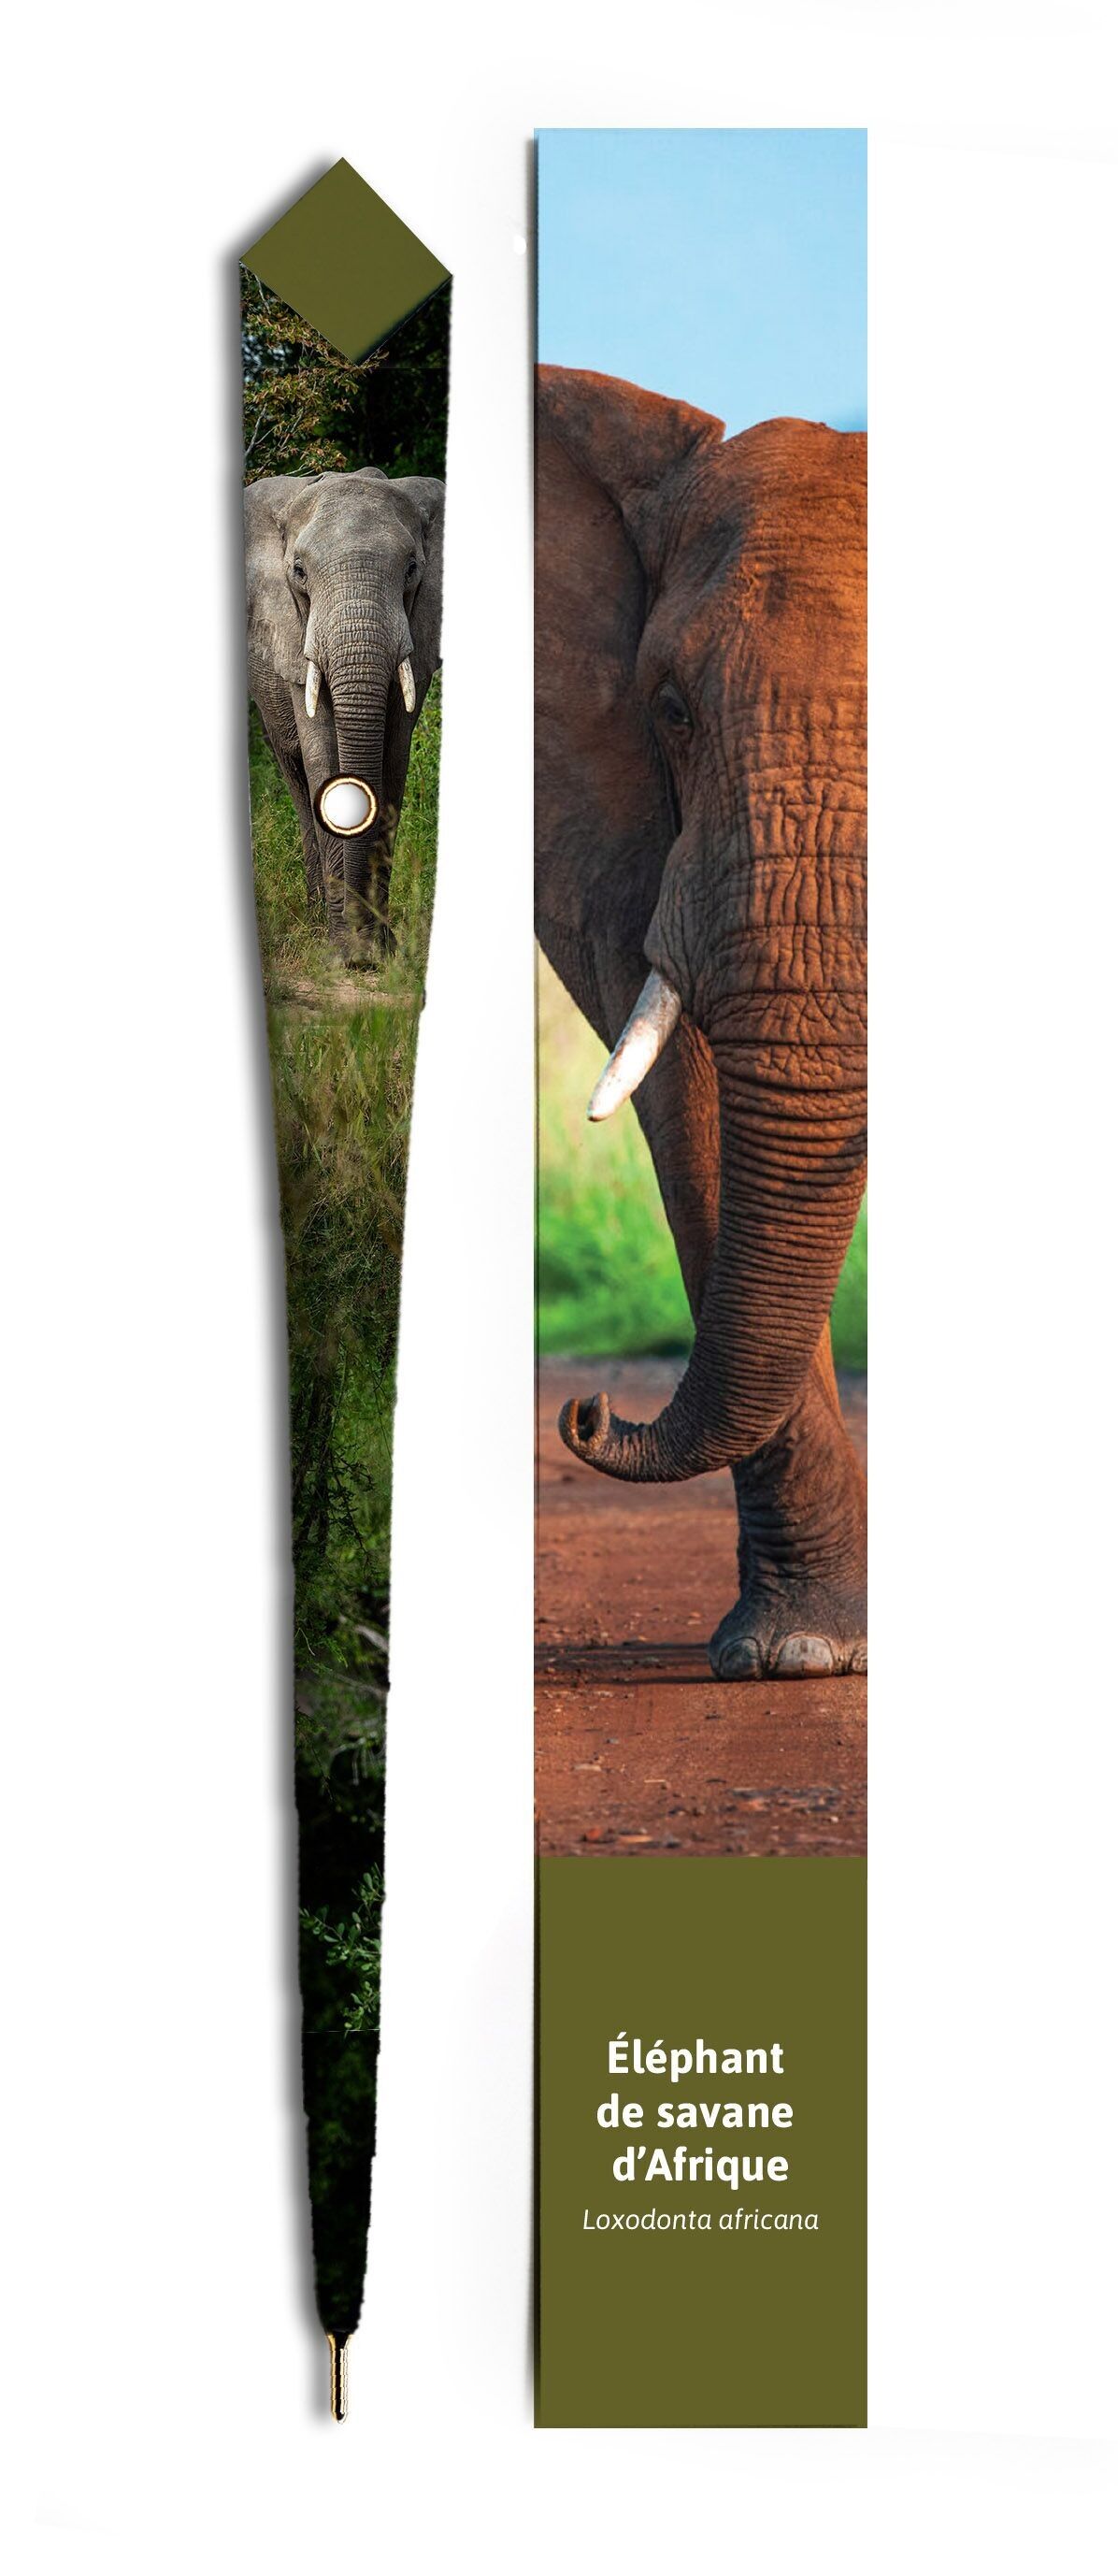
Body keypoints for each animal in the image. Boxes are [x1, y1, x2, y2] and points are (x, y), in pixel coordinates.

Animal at [244, 466, 444, 957]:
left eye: (412, 570)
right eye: (299, 572)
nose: (357, 951)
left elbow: (392, 761)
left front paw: (379, 950)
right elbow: (322, 756)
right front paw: (343, 952)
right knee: (297, 779)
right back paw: (317, 915)